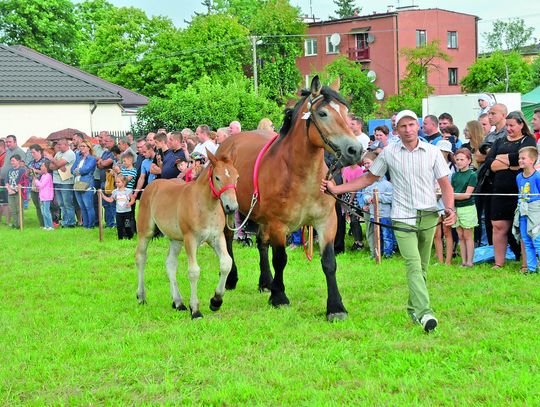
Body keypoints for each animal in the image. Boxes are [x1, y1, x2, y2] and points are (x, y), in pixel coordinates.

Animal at [135, 151, 238, 320]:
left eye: (237, 177)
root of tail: (152, 185)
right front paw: (195, 309)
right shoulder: (191, 239)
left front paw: (216, 300)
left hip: (176, 239)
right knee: (141, 257)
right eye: (217, 178)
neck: (206, 206)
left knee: (170, 263)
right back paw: (141, 296)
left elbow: (226, 263)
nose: (232, 207)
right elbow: (194, 271)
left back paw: (178, 302)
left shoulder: (217, 238)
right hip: (146, 232)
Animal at [215, 75, 362, 320]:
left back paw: (265, 282)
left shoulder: (327, 221)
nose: (356, 150)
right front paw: (279, 297)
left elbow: (329, 262)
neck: (299, 175)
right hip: (231, 208)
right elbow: (280, 259)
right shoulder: (278, 224)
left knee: (261, 244)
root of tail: (225, 144)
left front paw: (336, 307)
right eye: (323, 113)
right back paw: (233, 279)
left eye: (345, 111)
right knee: (228, 239)